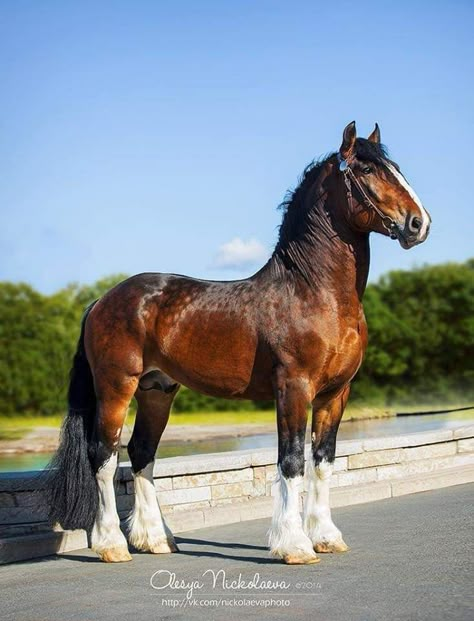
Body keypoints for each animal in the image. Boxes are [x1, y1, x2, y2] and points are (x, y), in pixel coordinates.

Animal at [47, 121, 430, 560]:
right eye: (367, 170)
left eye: (394, 168)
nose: (418, 223)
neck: (313, 292)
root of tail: (101, 301)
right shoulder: (294, 388)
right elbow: (291, 461)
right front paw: (294, 545)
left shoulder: (336, 394)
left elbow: (323, 460)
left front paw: (327, 536)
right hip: (116, 386)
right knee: (104, 457)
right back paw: (112, 544)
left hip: (157, 390)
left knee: (142, 454)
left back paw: (156, 539)